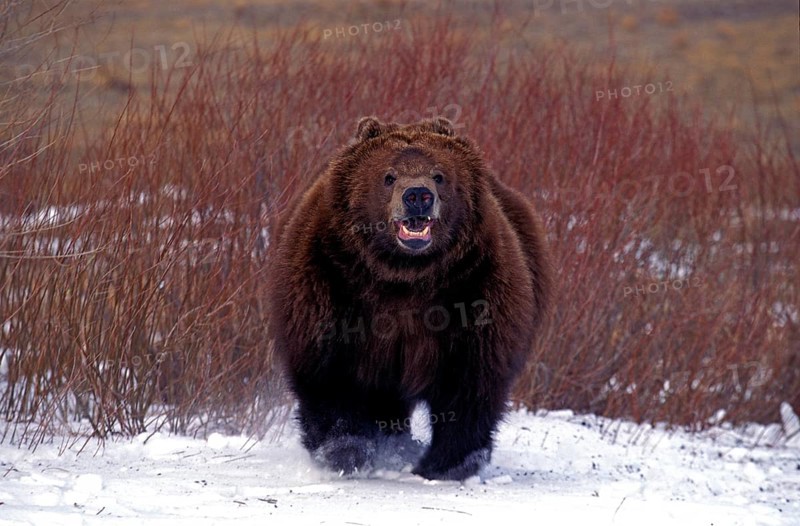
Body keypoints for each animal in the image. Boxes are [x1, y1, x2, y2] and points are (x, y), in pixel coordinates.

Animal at [266, 116, 551, 480]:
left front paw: (446, 463)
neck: (404, 278)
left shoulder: (474, 291)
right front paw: (345, 450)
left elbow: (471, 381)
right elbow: (329, 373)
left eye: (439, 175)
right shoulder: (329, 285)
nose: (418, 196)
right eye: (388, 176)